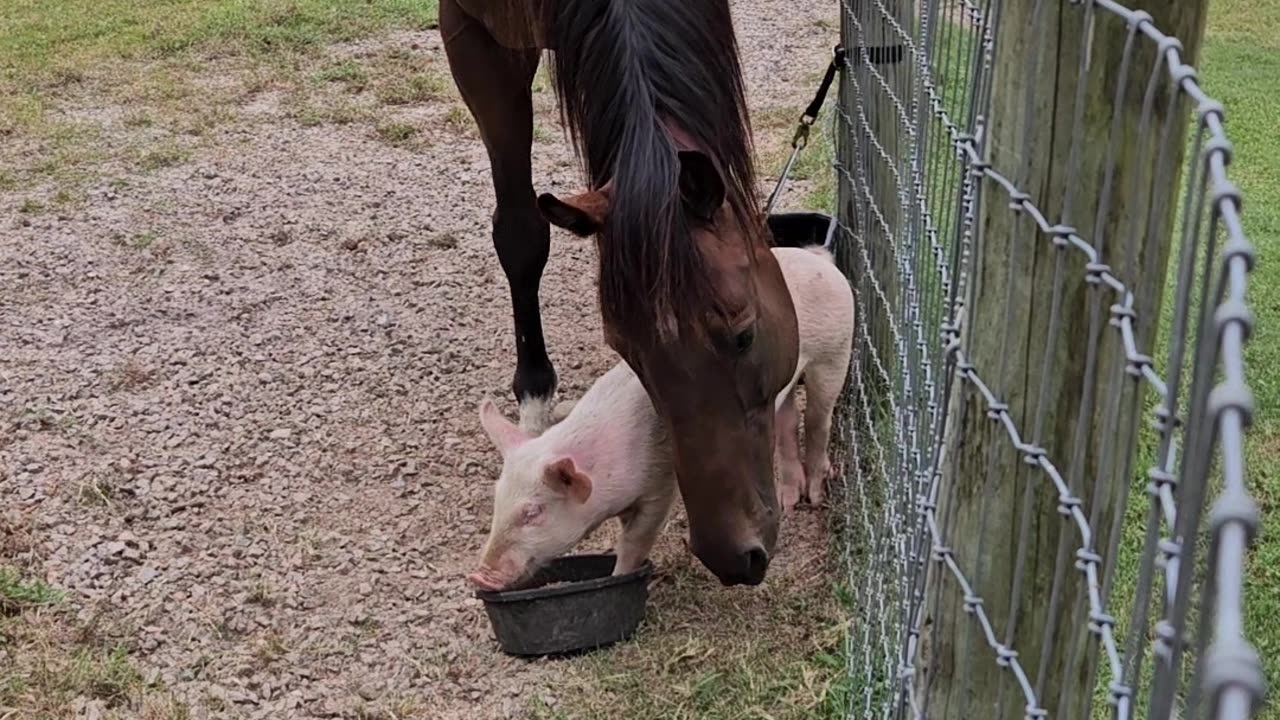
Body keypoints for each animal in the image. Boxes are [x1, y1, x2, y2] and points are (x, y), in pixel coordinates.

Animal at [439, 0, 800, 586]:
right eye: (624, 350)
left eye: (744, 336)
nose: (729, 554)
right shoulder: (475, 38)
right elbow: (519, 233)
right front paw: (534, 406)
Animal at [467, 244, 854, 590]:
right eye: (497, 500)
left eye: (533, 512)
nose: (480, 576)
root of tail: (820, 259)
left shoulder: (657, 484)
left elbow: (637, 539)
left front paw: (621, 577)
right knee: (787, 419)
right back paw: (790, 502)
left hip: (835, 353)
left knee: (819, 420)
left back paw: (815, 495)